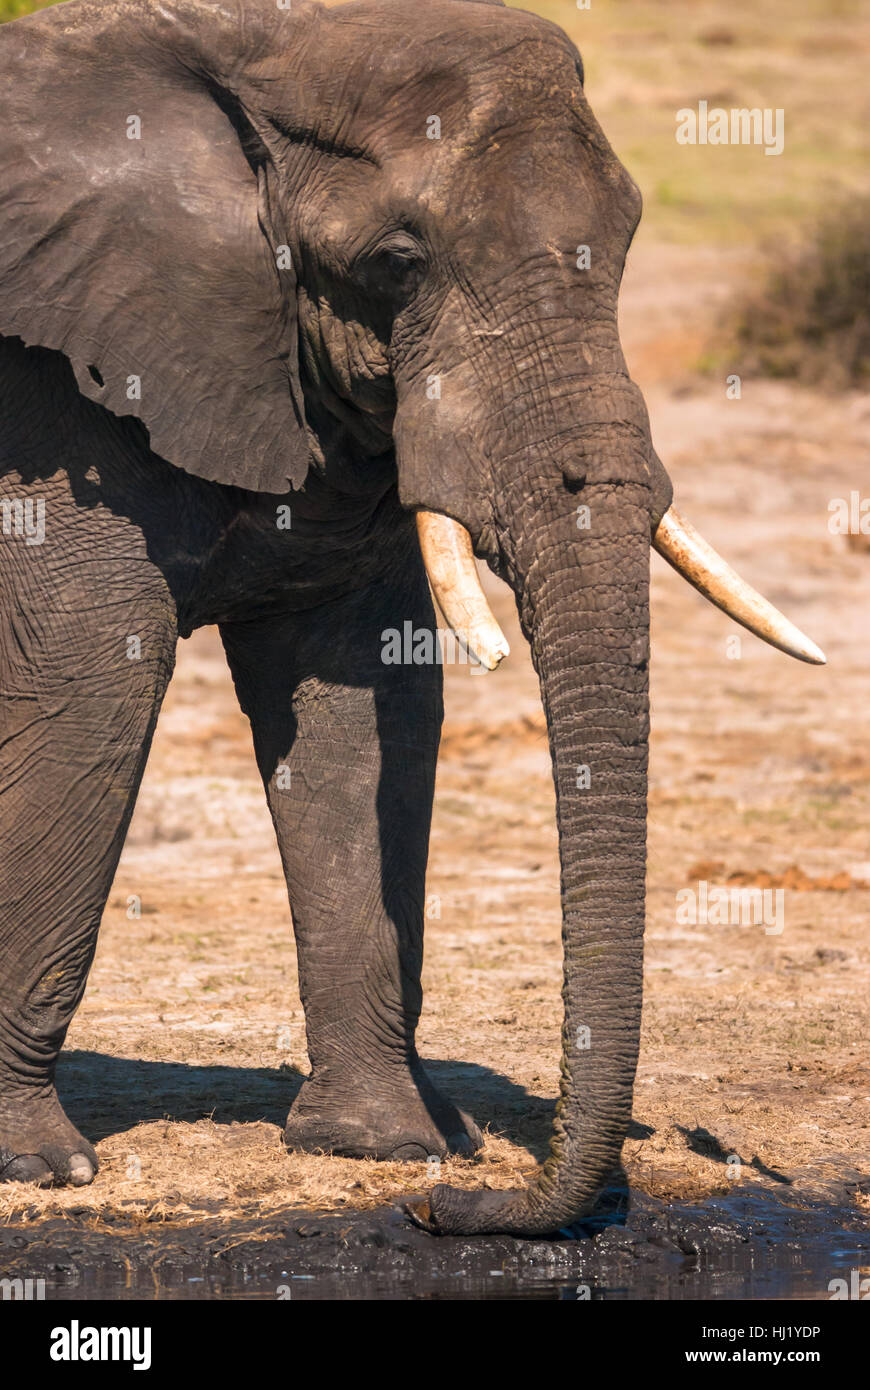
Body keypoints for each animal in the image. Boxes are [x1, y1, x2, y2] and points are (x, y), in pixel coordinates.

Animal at [0, 0, 817, 1239]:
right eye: (397, 261)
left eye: (628, 238)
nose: (457, 1208)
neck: (255, 46)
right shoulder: (57, 401)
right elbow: (91, 683)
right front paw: (37, 1167)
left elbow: (359, 700)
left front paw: (387, 1146)